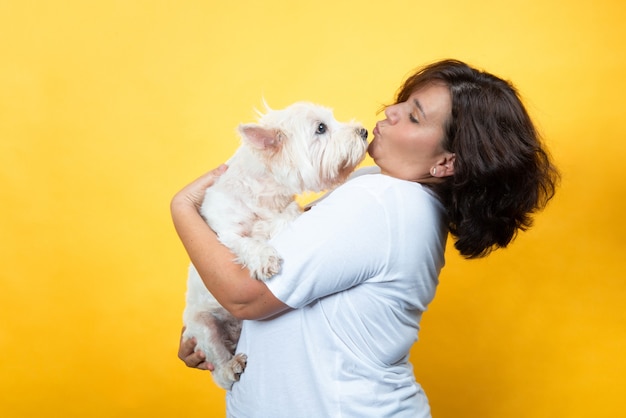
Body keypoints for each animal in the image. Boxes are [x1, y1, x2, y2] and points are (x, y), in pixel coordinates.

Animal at [182, 101, 366, 388]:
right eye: (321, 128)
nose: (364, 132)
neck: (263, 195)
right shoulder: (226, 233)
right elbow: (247, 243)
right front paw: (264, 259)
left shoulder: (284, 210)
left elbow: (286, 217)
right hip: (203, 325)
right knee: (218, 361)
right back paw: (231, 366)